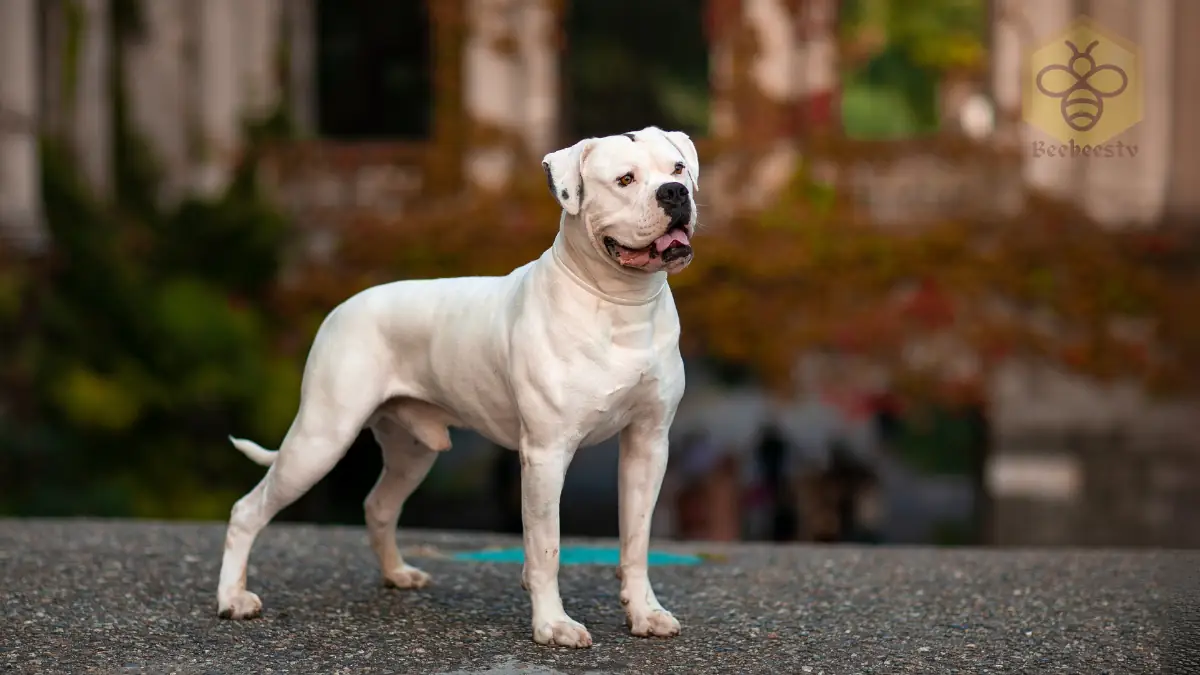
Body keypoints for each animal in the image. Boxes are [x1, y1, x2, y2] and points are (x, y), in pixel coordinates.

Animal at [220, 124, 700, 648]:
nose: (674, 193)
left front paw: (645, 612)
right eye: (625, 179)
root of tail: (343, 306)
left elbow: (636, 540)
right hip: (320, 440)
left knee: (378, 505)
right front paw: (553, 624)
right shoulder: (546, 454)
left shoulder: (647, 445)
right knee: (247, 509)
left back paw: (397, 574)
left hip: (411, 451)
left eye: (677, 169)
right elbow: (546, 547)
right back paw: (232, 599)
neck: (620, 304)